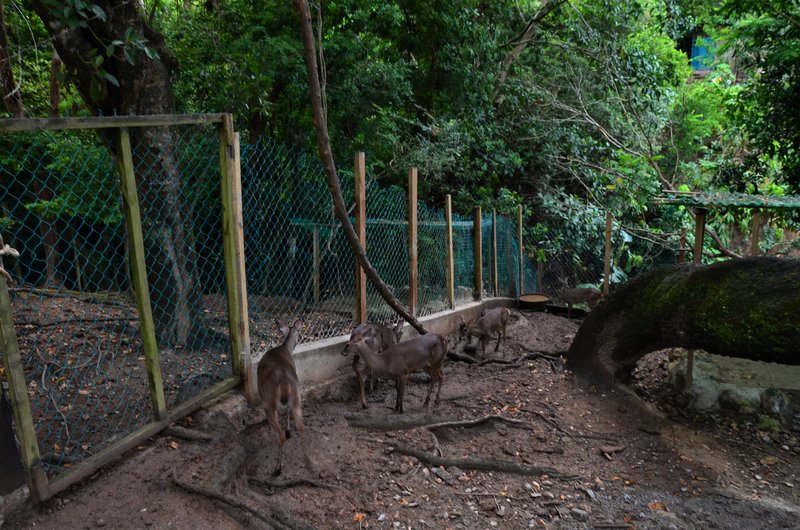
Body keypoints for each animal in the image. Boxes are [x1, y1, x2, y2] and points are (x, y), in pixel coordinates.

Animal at [260, 318, 316, 474]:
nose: (299, 340)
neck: (284, 347)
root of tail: (284, 382)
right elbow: (287, 411)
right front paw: (289, 430)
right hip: (296, 396)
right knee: (301, 428)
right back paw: (309, 463)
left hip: (269, 403)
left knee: (280, 435)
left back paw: (277, 468)